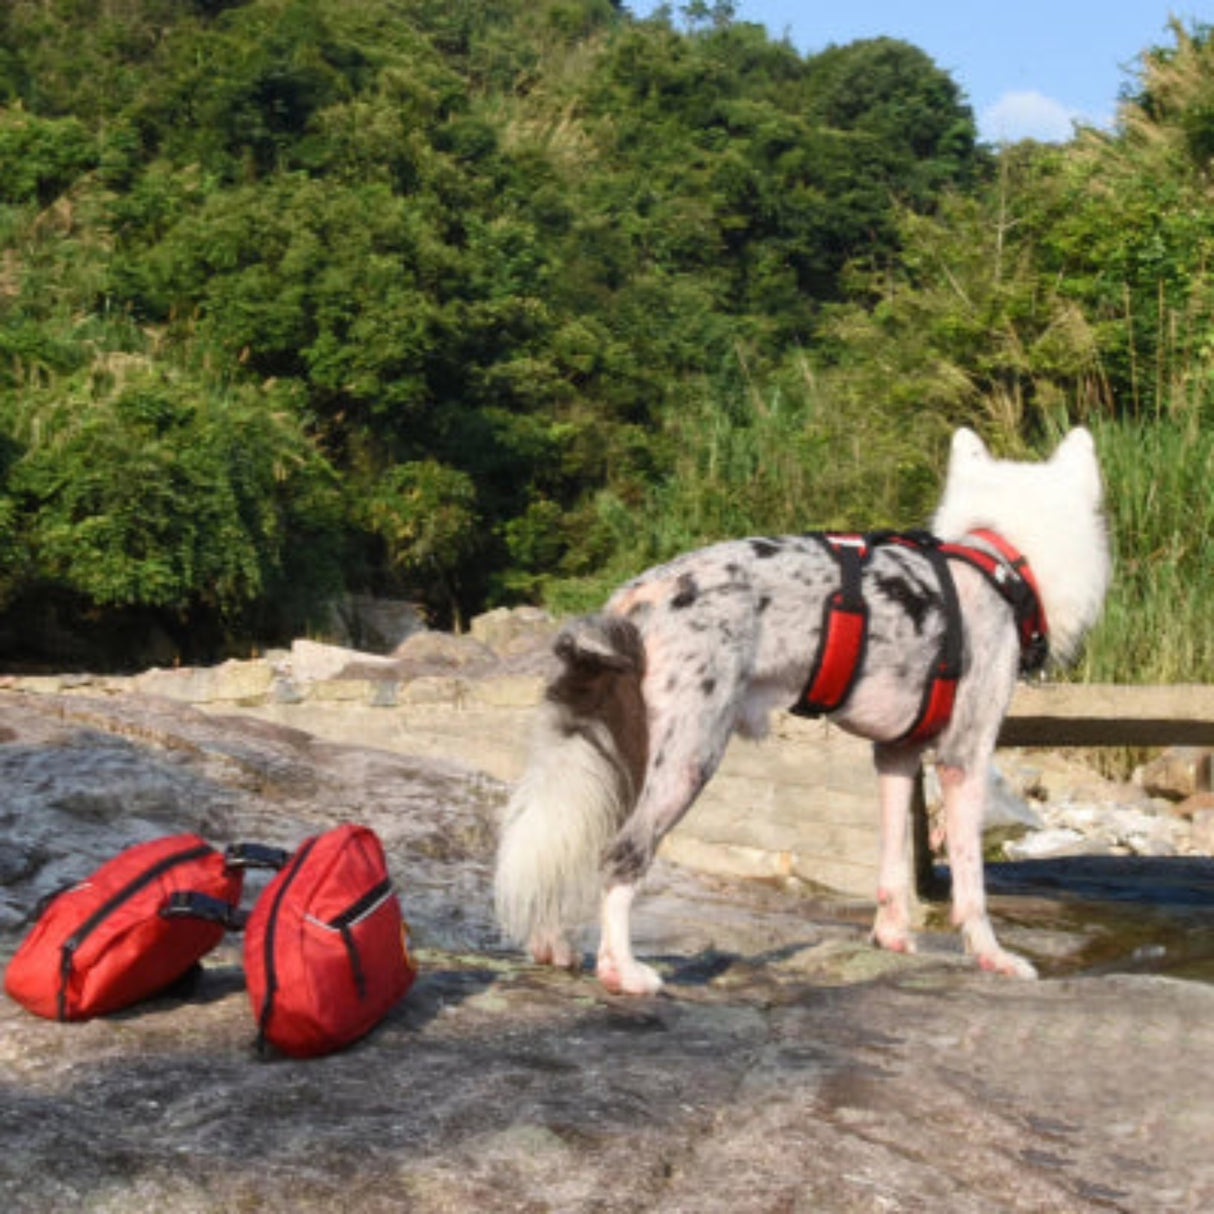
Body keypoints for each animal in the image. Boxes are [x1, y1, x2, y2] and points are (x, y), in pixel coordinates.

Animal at [490, 432, 1112, 990]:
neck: (996, 561)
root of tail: (637, 595)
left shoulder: (896, 756)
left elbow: (892, 865)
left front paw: (894, 939)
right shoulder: (966, 758)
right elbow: (972, 887)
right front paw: (992, 957)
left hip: (618, 757)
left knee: (565, 839)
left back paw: (551, 944)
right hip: (689, 757)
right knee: (621, 855)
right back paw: (622, 970)